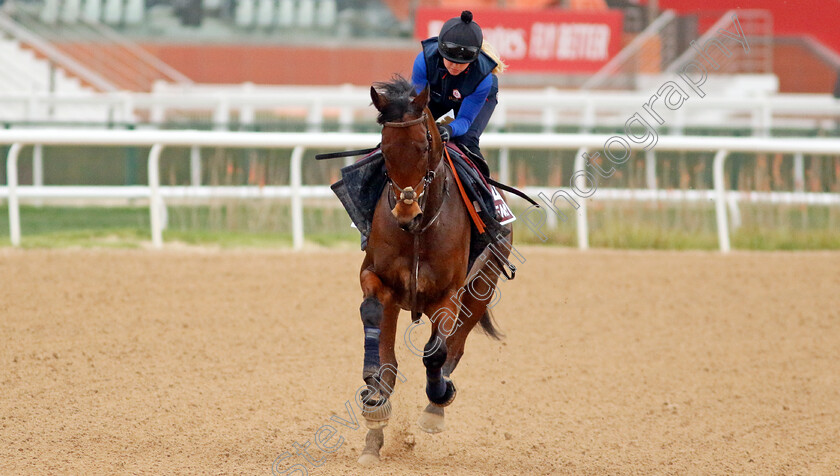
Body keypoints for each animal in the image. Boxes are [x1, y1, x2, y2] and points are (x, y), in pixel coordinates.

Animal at [354, 77, 512, 464]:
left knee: (455, 348)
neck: (419, 230)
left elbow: (436, 352)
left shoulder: (449, 294)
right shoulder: (376, 279)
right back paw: (374, 434)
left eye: (425, 143)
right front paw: (373, 395)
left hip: (482, 287)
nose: (405, 212)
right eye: (384, 146)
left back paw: (435, 408)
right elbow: (374, 321)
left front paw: (437, 400)